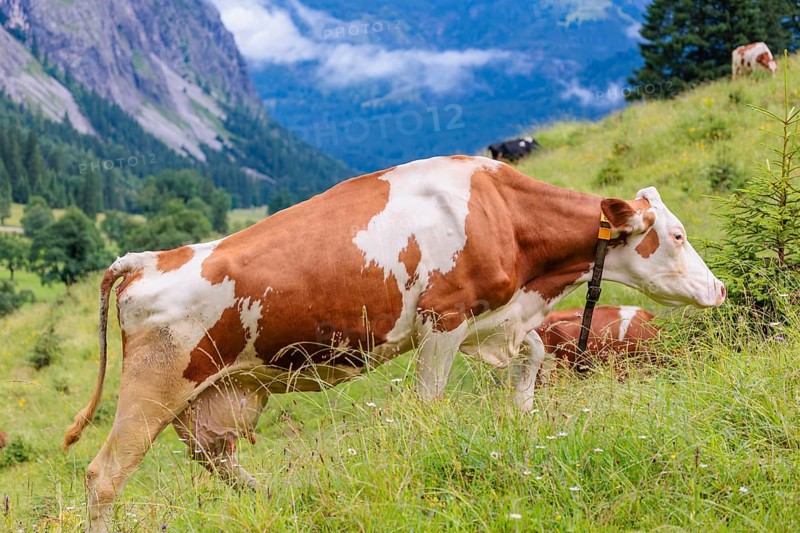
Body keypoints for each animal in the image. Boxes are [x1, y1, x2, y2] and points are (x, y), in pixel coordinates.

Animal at [62, 155, 725, 532]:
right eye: (676, 234)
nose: (717, 288)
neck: (501, 212)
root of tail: (149, 258)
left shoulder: (495, 317)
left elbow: (534, 354)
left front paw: (522, 412)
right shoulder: (443, 318)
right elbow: (429, 406)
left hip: (214, 394)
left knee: (216, 458)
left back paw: (283, 500)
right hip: (153, 387)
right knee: (105, 475)